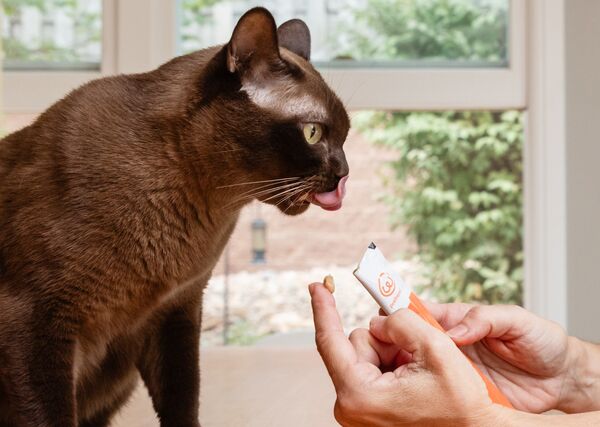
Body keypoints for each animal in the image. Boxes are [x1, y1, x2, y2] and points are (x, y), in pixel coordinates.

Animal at [0, 7, 350, 427]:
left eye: (345, 136)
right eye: (313, 133)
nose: (344, 173)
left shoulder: (175, 312)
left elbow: (183, 399)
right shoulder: (36, 322)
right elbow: (49, 415)